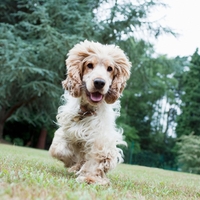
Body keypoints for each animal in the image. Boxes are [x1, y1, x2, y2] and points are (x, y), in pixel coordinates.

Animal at [49, 39, 131, 185]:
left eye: (110, 68)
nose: (99, 82)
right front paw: (72, 163)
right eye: (89, 65)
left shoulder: (101, 138)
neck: (87, 110)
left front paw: (90, 178)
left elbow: (97, 157)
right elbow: (58, 149)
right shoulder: (67, 130)